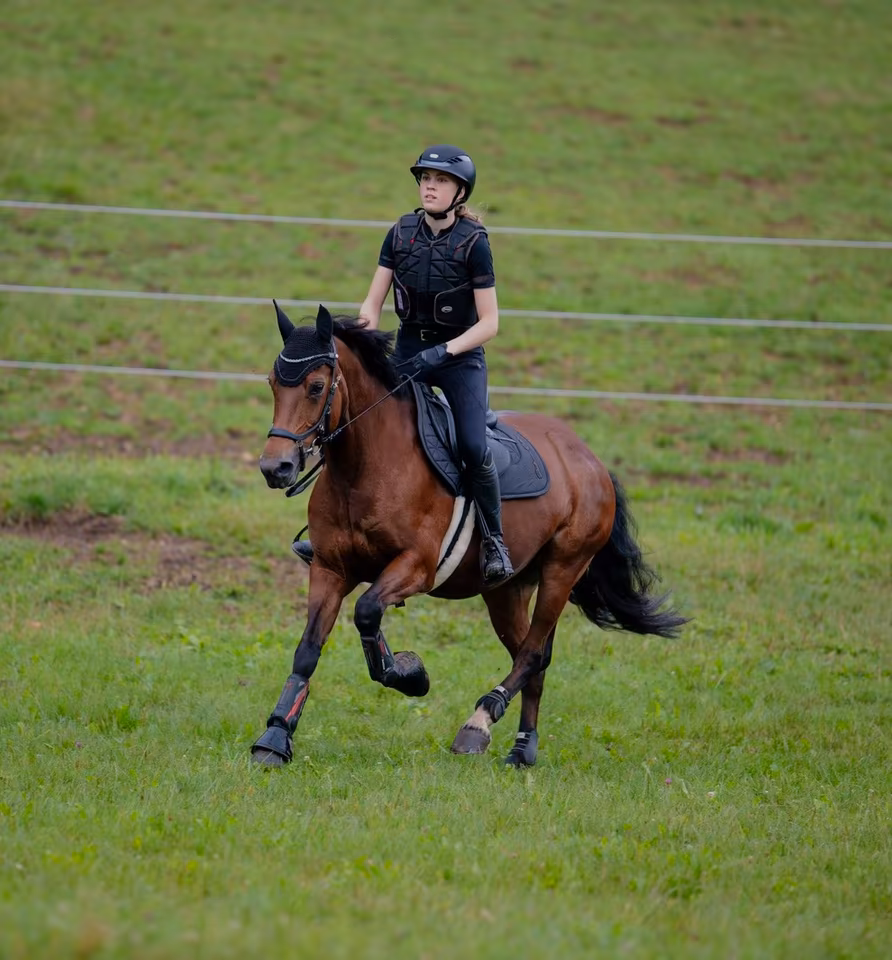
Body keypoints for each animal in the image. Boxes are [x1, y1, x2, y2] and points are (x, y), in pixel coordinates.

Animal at [251, 302, 688, 767]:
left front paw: (410, 674)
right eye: (273, 383)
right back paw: (523, 748)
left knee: (533, 652)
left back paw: (479, 722)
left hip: (562, 570)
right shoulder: (330, 568)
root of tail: (591, 459)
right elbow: (309, 649)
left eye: (316, 387)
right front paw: (275, 736)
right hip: (506, 590)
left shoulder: (417, 566)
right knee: (533, 658)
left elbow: (367, 611)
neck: (364, 466)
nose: (275, 468)